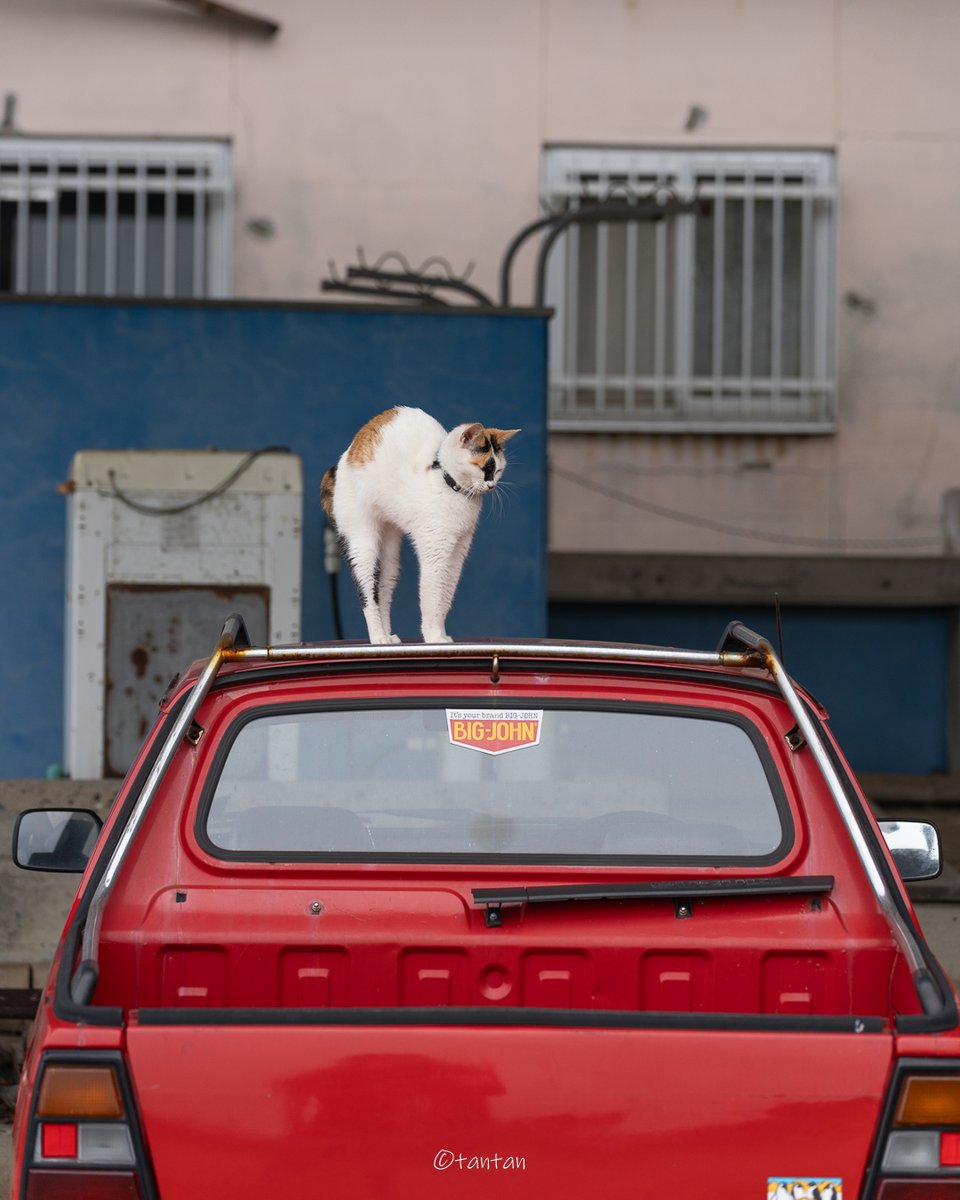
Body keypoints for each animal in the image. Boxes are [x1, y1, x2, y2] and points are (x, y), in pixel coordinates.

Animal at [321, 405, 518, 648]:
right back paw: (378, 637)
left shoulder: (457, 552)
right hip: (362, 541)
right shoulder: (435, 551)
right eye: (484, 468)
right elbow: (431, 596)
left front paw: (441, 635)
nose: (492, 485)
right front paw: (433, 637)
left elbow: (446, 595)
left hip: (389, 554)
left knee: (382, 590)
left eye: (498, 470)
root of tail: (349, 452)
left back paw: (388, 637)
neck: (447, 483)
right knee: (367, 592)